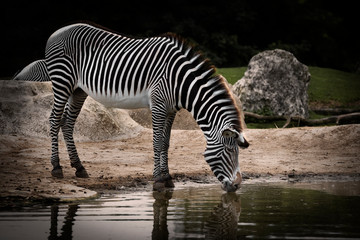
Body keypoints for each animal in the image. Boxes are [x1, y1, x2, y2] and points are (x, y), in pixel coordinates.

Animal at [14, 22, 250, 191]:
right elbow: (156, 143)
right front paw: (158, 180)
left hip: (78, 89)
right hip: (62, 82)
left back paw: (79, 167)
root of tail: (56, 31)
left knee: (67, 122)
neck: (180, 81)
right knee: (54, 120)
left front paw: (168, 178)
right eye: (230, 151)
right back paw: (56, 167)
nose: (237, 186)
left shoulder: (171, 109)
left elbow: (166, 143)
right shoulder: (158, 105)